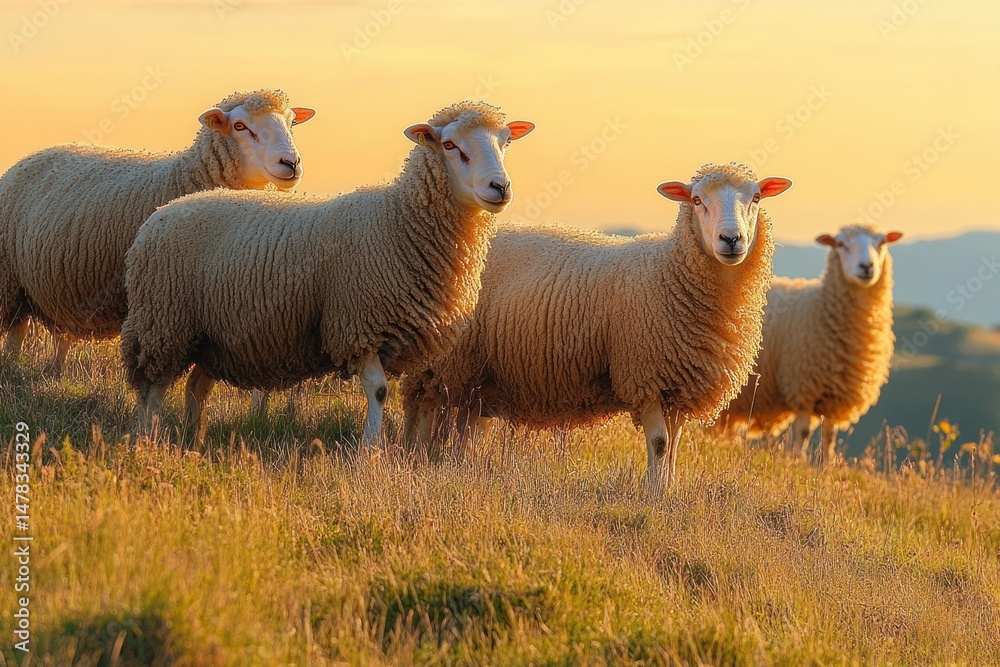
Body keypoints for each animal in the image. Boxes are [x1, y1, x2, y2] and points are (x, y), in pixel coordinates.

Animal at [0, 89, 316, 376]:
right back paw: (12, 368)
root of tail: (28, 158)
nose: (290, 163)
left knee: (49, 333)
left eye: (291, 122)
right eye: (240, 126)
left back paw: (50, 371)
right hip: (9, 279)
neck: (183, 177)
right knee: (16, 330)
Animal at [120, 101, 535, 445]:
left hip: (212, 335)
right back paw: (146, 438)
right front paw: (371, 451)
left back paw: (193, 437)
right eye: (450, 146)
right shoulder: (356, 325)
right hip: (164, 321)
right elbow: (379, 391)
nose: (499, 187)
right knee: (152, 387)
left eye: (505, 142)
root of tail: (165, 210)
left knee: (195, 386)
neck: (398, 222)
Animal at [402, 163, 793, 494]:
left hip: (479, 370)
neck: (668, 272)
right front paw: (652, 495)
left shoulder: (681, 383)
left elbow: (675, 445)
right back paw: (415, 458)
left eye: (756, 198)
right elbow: (660, 443)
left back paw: (458, 465)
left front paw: (667, 492)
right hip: (442, 361)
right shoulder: (645, 375)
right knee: (423, 406)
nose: (731, 239)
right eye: (697, 200)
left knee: (467, 422)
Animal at [716, 224, 903, 465]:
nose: (867, 267)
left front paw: (827, 466)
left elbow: (829, 436)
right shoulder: (803, 386)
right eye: (840, 244)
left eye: (882, 242)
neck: (820, 307)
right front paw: (797, 462)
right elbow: (804, 432)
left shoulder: (835, 396)